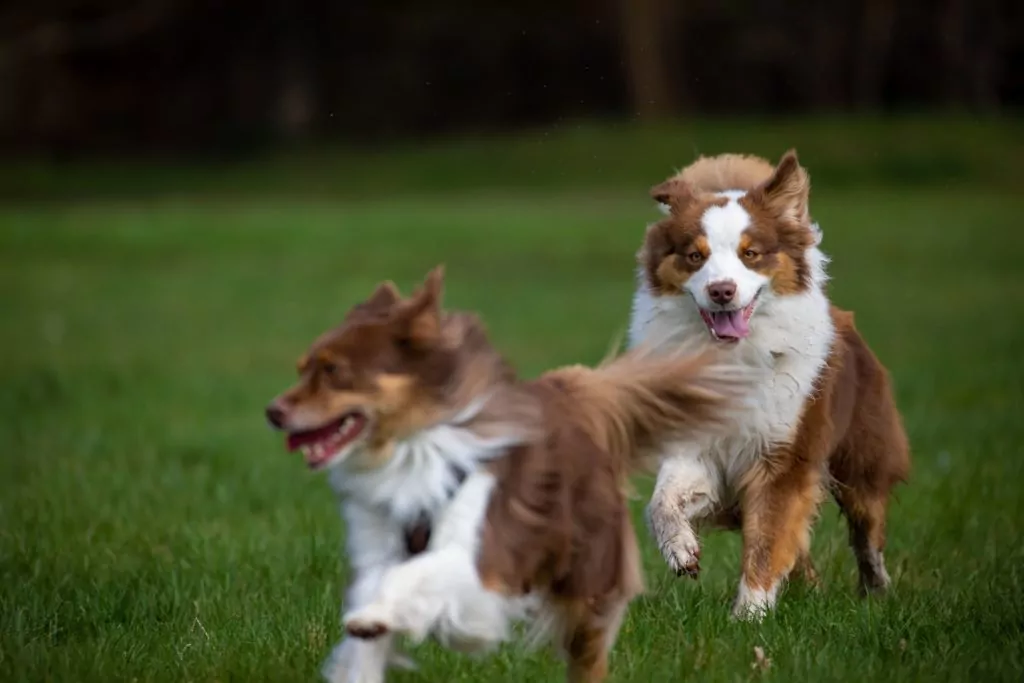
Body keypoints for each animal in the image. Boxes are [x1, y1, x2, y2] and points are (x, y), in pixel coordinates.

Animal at [268, 266, 757, 683]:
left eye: (334, 371)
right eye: (302, 368)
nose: (273, 412)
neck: (411, 453)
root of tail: (574, 392)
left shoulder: (488, 554)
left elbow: (424, 574)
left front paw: (377, 614)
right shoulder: (379, 543)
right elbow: (374, 612)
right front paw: (366, 634)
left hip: (588, 570)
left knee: (588, 652)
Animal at [630, 149, 913, 618]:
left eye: (751, 253)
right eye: (694, 256)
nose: (722, 291)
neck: (732, 357)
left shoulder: (784, 456)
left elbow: (768, 540)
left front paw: (748, 616)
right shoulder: (699, 448)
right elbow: (662, 501)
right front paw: (681, 549)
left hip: (862, 459)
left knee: (867, 533)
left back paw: (877, 594)